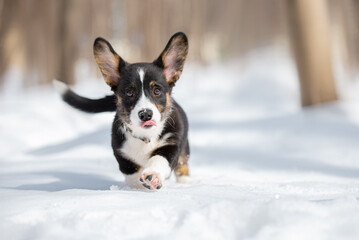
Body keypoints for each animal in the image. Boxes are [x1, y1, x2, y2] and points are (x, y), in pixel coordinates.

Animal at [54, 32, 191, 189]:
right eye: (129, 93)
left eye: (157, 91)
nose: (145, 114)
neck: (145, 137)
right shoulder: (122, 154)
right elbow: (132, 172)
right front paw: (135, 188)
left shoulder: (172, 144)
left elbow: (160, 159)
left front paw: (152, 176)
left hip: (184, 148)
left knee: (182, 164)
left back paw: (186, 182)